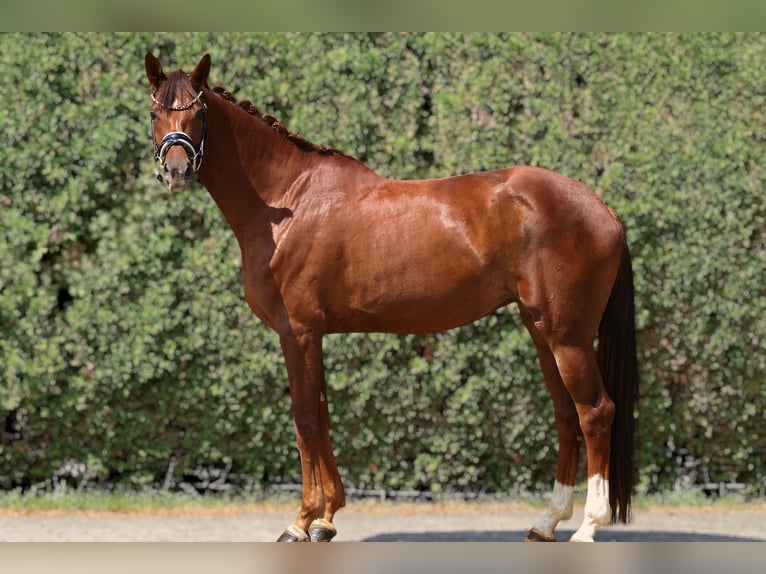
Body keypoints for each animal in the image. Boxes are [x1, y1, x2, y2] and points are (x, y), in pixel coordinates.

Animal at [144, 52, 638, 542]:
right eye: (155, 112)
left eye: (199, 113)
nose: (176, 170)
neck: (288, 201)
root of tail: (603, 209)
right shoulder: (312, 336)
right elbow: (322, 416)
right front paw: (326, 518)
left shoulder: (297, 331)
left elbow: (305, 420)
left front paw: (301, 522)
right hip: (541, 331)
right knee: (566, 413)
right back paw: (546, 522)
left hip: (568, 338)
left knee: (596, 412)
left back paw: (588, 527)